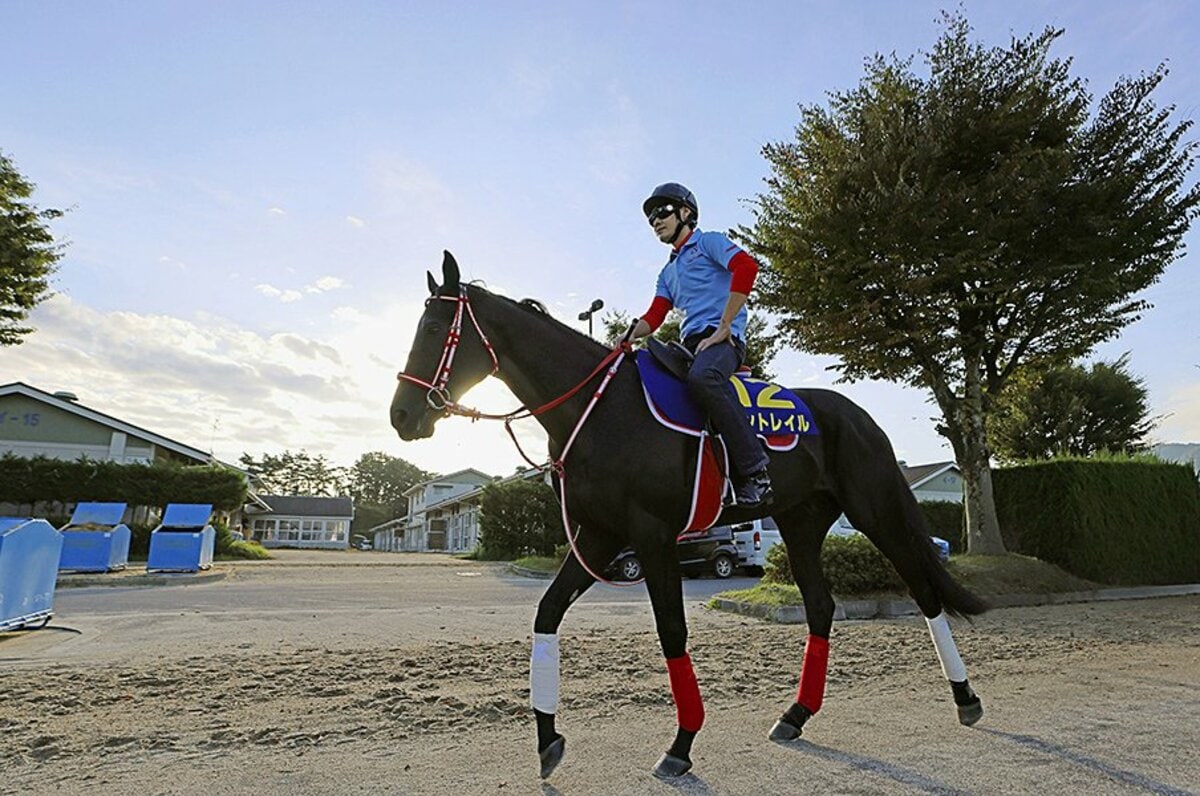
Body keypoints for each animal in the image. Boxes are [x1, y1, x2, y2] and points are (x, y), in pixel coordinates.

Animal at [390, 251, 988, 780]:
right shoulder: (600, 536)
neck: (603, 408)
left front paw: (681, 744)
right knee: (820, 607)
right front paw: (548, 739)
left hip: (876, 511)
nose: (400, 414)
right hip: (801, 526)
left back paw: (966, 698)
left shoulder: (652, 537)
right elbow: (547, 614)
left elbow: (672, 631)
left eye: (435, 327)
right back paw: (796, 714)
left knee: (925, 592)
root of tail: (860, 415)